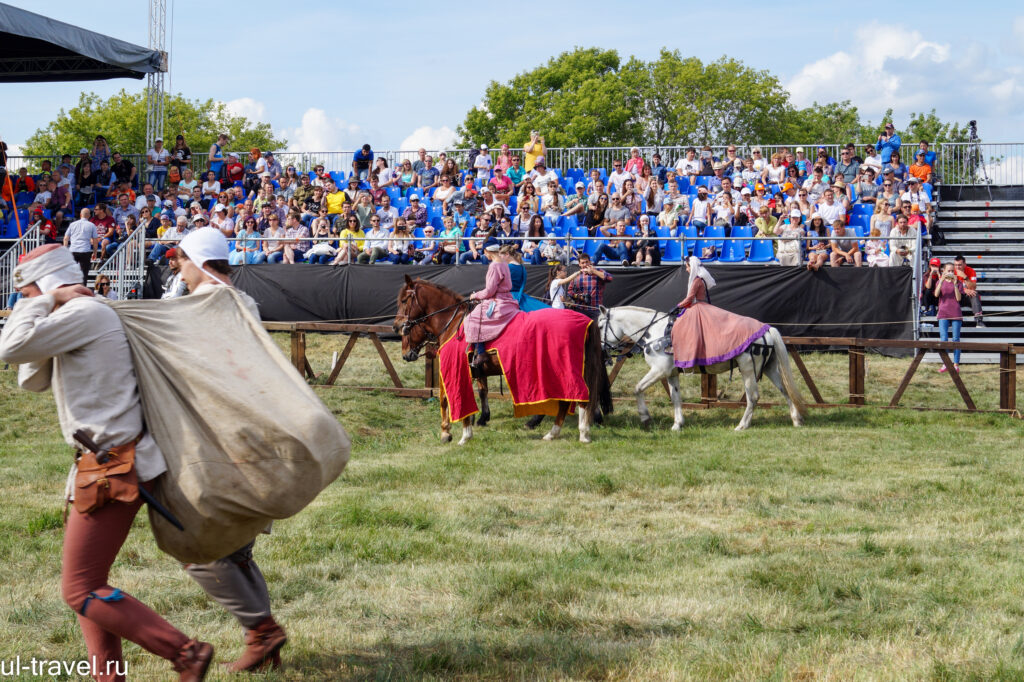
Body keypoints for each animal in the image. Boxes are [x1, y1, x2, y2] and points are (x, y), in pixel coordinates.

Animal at [395, 274, 610, 444]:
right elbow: (476, 393)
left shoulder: (455, 369)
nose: (398, 326)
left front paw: (454, 434)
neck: (453, 322)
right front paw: (467, 426)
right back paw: (553, 432)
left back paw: (582, 432)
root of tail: (584, 320)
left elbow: (448, 399)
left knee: (580, 397)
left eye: (405, 300)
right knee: (568, 400)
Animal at [598, 303, 806, 428]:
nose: (601, 348)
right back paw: (796, 419)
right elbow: (676, 398)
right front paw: (677, 424)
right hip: (770, 369)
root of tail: (767, 329)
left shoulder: (659, 370)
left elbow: (637, 388)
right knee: (786, 391)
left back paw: (742, 425)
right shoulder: (671, 373)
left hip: (748, 370)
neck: (656, 331)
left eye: (600, 327)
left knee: (753, 397)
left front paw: (645, 416)